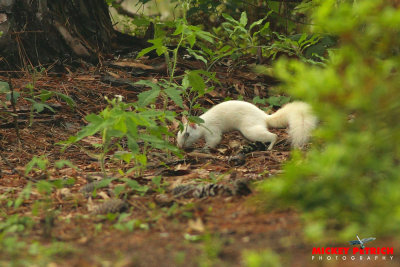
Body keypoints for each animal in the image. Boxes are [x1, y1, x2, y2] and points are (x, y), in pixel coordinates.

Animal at [177, 100, 318, 151]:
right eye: (178, 133)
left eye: (187, 134)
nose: (179, 146)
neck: (202, 124)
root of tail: (264, 117)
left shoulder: (212, 130)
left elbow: (214, 140)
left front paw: (204, 148)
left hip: (250, 129)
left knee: (273, 136)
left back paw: (269, 147)